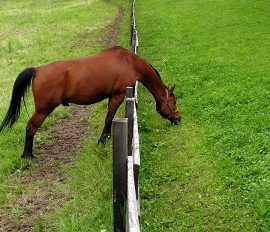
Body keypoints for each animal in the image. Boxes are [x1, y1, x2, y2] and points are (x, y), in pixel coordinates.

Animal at [1, 46, 181, 159]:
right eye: (173, 101)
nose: (178, 118)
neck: (129, 63)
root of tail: (37, 70)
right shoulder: (117, 96)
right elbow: (108, 118)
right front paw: (103, 140)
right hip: (43, 110)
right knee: (31, 127)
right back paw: (27, 155)